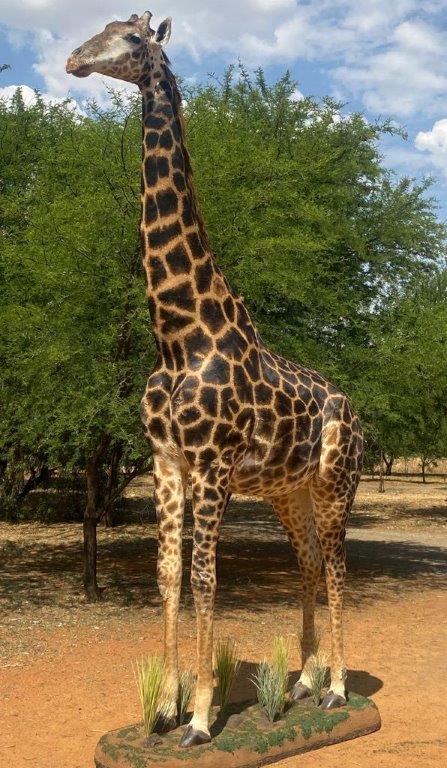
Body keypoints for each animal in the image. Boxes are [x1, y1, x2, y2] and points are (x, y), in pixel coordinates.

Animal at [66, 11, 364, 748]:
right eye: (100, 27)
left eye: (132, 40)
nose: (73, 60)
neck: (179, 333)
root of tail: (357, 412)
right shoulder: (167, 460)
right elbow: (169, 575)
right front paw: (164, 709)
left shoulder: (212, 464)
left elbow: (206, 578)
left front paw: (201, 716)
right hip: (288, 491)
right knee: (308, 562)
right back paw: (303, 683)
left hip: (336, 483)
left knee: (339, 567)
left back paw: (339, 688)